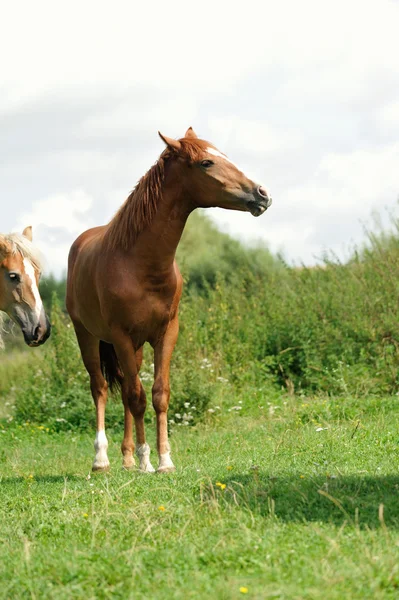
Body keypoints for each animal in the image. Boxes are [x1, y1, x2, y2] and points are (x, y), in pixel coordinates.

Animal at [67, 127, 274, 474]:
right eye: (206, 162)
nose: (261, 194)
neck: (139, 265)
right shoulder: (120, 336)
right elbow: (136, 397)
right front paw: (146, 460)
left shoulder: (166, 333)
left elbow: (158, 394)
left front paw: (163, 460)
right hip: (89, 336)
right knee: (101, 388)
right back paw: (102, 459)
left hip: (134, 348)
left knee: (125, 390)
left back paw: (126, 457)